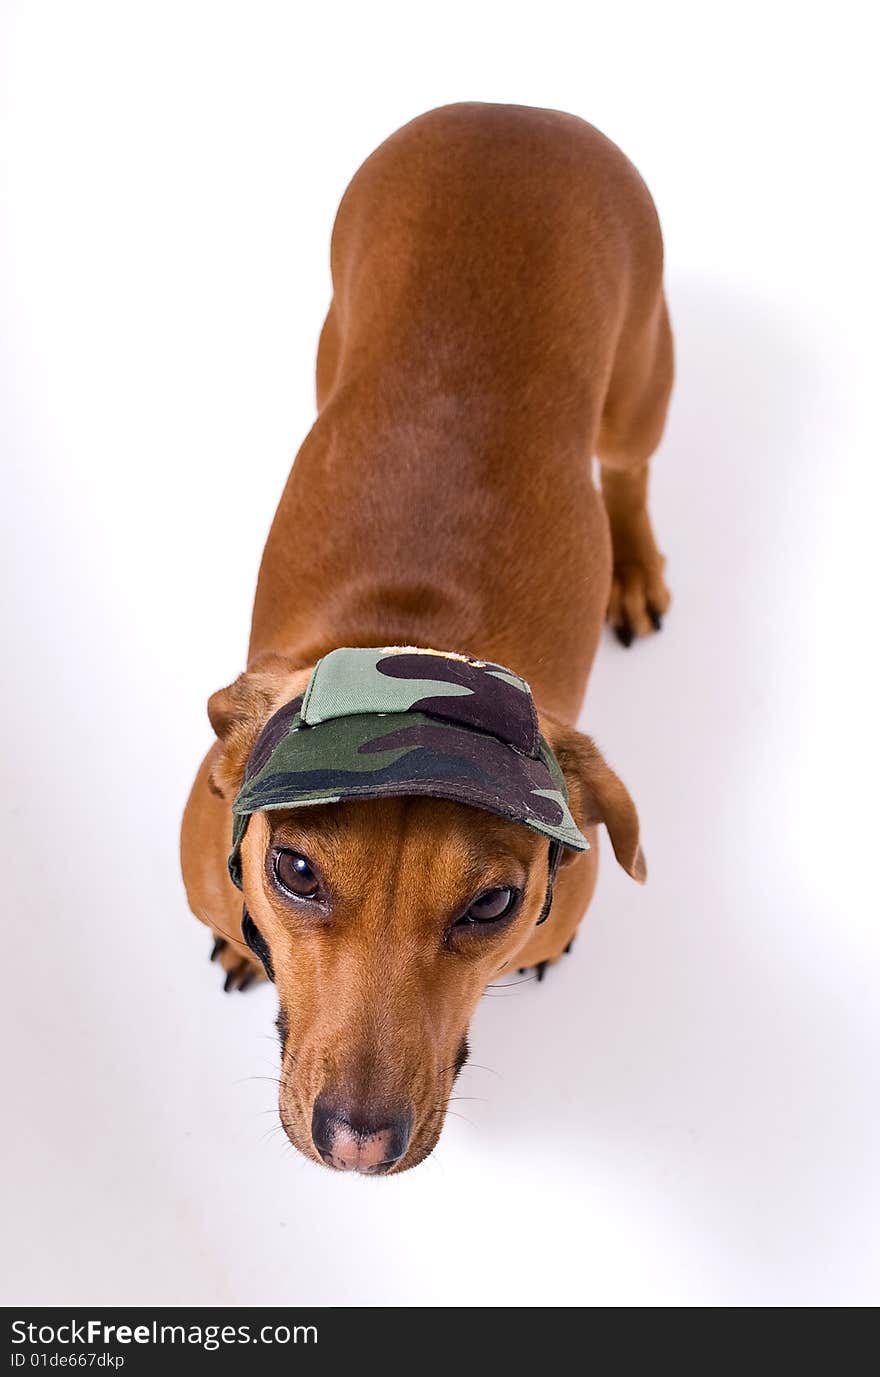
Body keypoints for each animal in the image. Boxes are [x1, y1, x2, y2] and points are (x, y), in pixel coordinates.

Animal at [180, 104, 674, 1173]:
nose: (359, 1144)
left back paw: (635, 564)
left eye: (492, 905)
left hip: (642, 381)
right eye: (295, 871)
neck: (412, 639)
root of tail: (512, 113)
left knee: (628, 471)